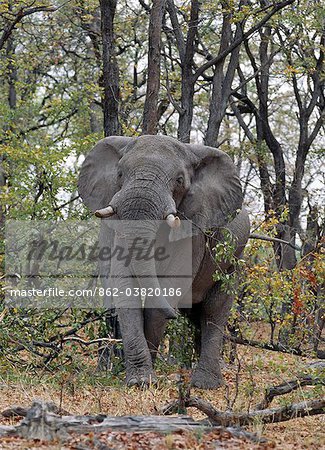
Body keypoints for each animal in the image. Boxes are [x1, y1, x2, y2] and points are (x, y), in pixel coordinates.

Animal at [77, 134, 249, 390]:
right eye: (120, 174)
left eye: (179, 180)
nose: (173, 314)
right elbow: (125, 287)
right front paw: (138, 381)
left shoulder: (194, 229)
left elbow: (168, 288)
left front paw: (145, 379)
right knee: (198, 317)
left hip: (232, 260)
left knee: (213, 310)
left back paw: (205, 384)